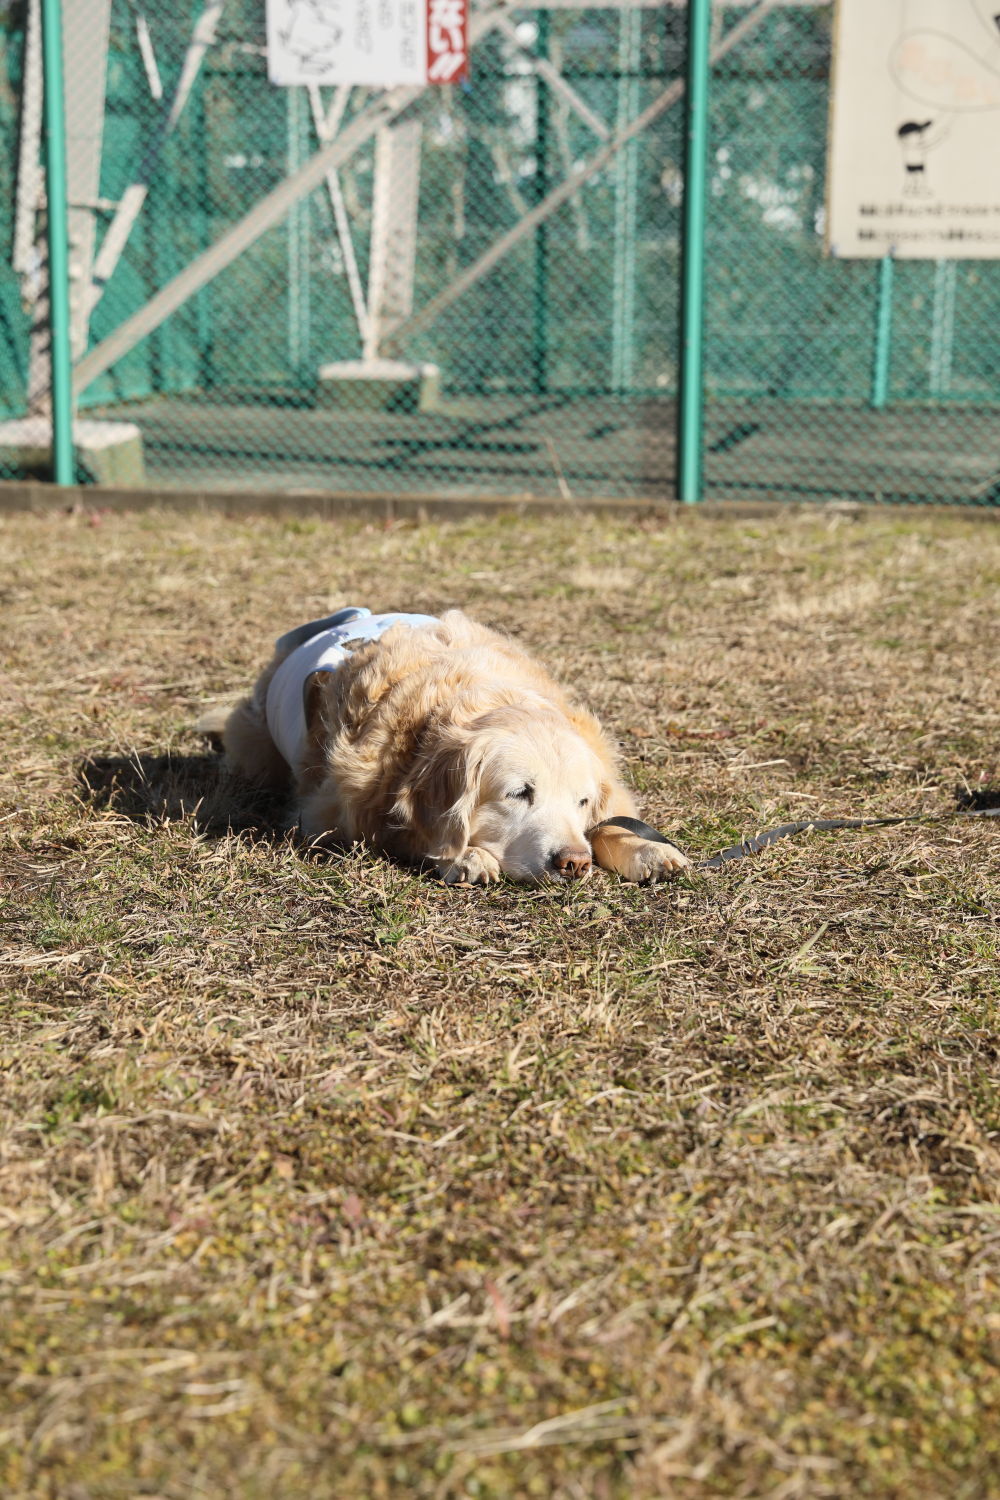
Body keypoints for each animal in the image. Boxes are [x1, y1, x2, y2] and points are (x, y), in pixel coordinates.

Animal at [217, 609, 689, 882]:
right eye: (519, 793)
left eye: (582, 801)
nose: (573, 862)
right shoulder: (337, 814)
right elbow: (411, 833)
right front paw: (466, 857)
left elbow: (611, 821)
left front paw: (647, 848)